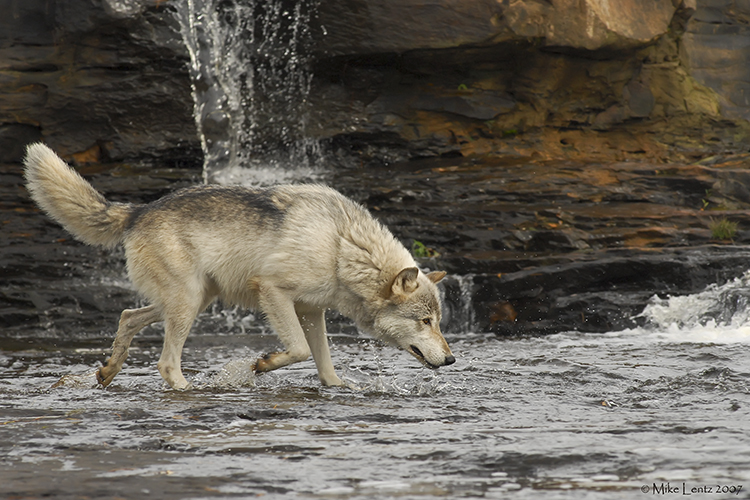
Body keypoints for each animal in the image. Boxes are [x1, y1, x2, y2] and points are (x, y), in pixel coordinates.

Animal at [23, 143, 456, 388]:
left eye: (438, 322)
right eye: (425, 322)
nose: (452, 359)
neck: (341, 246)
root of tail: (138, 210)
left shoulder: (312, 311)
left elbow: (324, 363)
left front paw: (337, 387)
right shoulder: (274, 292)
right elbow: (299, 350)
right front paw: (263, 365)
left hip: (194, 300)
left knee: (128, 316)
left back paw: (108, 372)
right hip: (188, 304)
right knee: (165, 363)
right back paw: (189, 391)